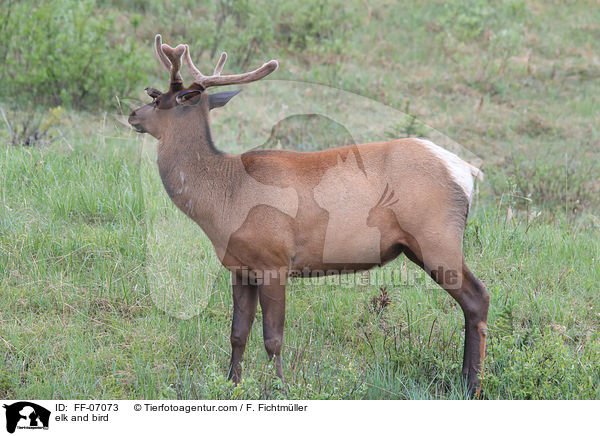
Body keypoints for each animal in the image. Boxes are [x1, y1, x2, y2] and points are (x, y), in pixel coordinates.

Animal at [129, 35, 490, 396]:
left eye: (159, 99)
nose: (133, 114)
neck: (225, 199)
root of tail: (467, 171)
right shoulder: (239, 266)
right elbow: (237, 333)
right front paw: (232, 384)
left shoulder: (274, 260)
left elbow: (273, 337)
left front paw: (281, 388)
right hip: (417, 245)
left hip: (436, 237)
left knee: (478, 296)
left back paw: (472, 385)